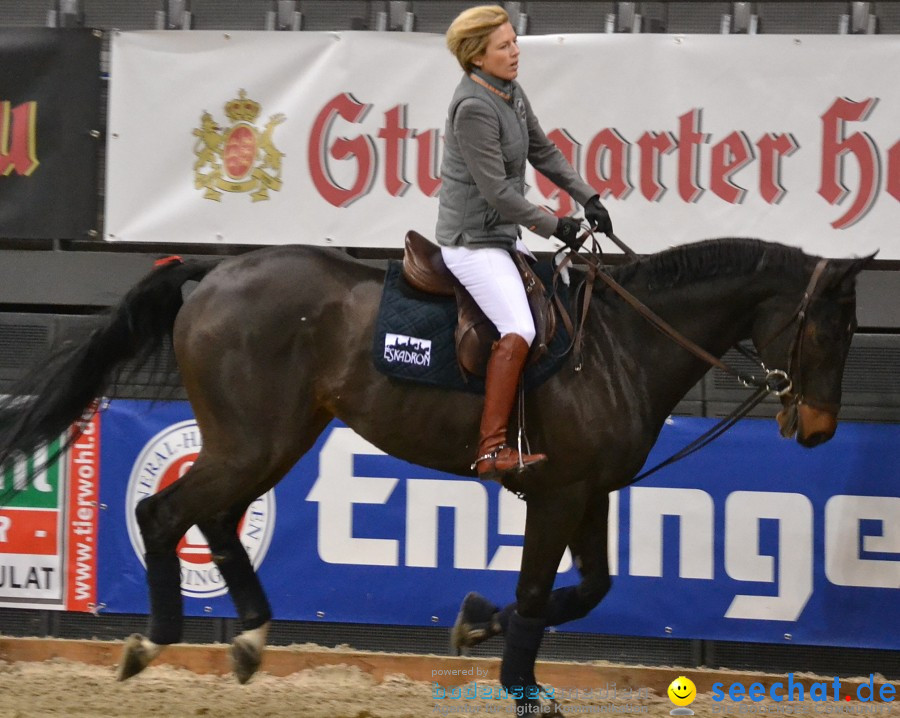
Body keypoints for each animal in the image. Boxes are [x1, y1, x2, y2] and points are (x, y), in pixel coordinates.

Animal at [1, 238, 872, 716]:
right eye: (833, 330)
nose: (820, 429)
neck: (621, 343)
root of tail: (214, 274)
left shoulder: (589, 494)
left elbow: (590, 589)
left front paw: (478, 622)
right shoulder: (557, 494)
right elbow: (537, 595)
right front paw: (520, 683)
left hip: (272, 438)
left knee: (212, 518)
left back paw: (247, 636)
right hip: (250, 440)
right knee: (162, 513)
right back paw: (153, 640)